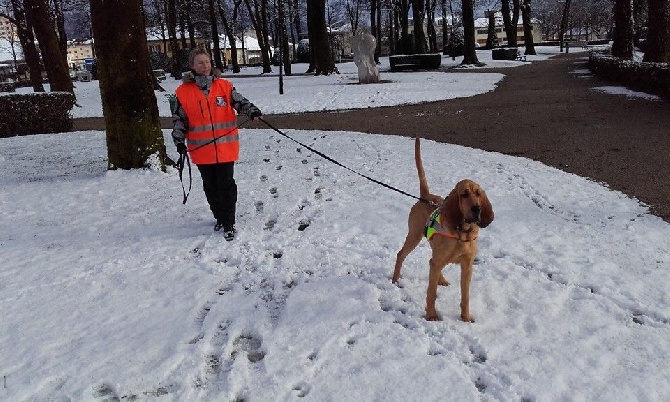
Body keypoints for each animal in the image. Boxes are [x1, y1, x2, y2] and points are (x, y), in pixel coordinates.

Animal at [394, 137, 494, 322]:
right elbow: (431, 293)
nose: (477, 209)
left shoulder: (467, 267)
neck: (463, 233)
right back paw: (395, 279)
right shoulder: (440, 262)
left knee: (431, 261)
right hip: (414, 236)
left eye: (478, 194)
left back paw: (441, 279)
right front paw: (431, 315)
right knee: (401, 254)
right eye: (464, 194)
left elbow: (465, 296)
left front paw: (466, 317)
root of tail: (425, 196)